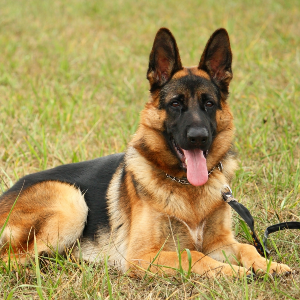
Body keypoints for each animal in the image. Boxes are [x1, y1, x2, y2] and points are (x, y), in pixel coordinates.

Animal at [0, 27, 290, 276]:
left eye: (209, 103)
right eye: (175, 104)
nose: (198, 137)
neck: (186, 187)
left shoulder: (220, 242)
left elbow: (247, 247)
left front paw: (268, 265)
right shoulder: (144, 255)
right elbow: (194, 256)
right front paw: (234, 273)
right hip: (70, 201)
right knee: (10, 259)